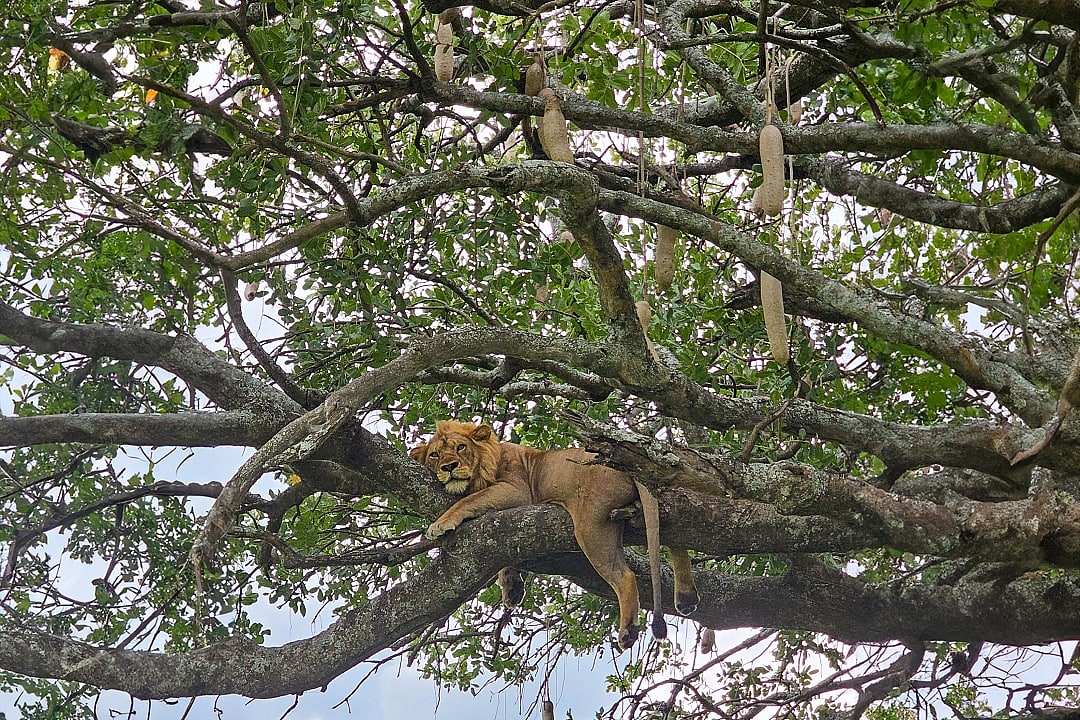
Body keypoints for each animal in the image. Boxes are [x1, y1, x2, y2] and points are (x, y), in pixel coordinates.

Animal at [410, 420, 699, 649]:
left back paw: (628, 631)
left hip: (591, 527)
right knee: (677, 542)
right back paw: (686, 597)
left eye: (461, 447)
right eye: (434, 454)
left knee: (625, 576)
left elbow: (467, 501)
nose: (448, 467)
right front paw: (511, 587)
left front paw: (439, 524)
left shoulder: (517, 492)